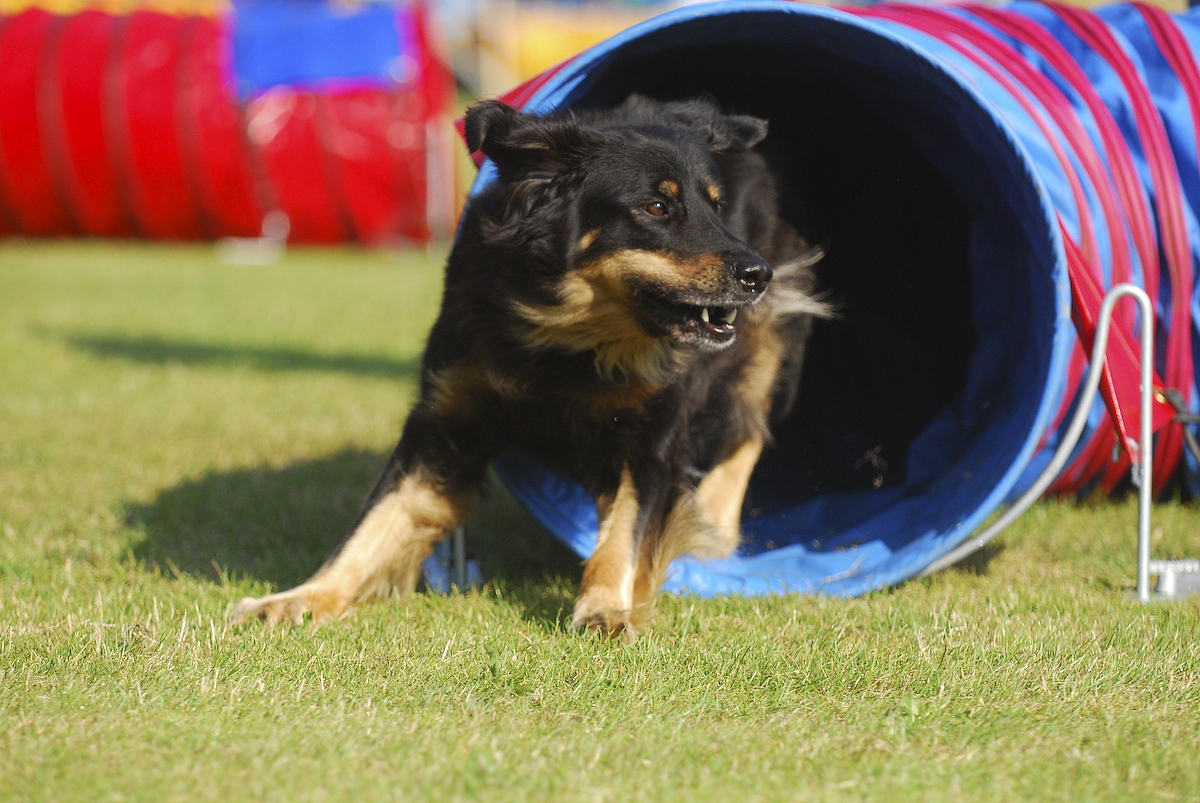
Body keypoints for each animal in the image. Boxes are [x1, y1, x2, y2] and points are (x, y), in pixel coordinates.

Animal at [231, 95, 827, 638]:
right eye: (656, 208)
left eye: (717, 207)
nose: (758, 274)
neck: (569, 334)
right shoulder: (446, 419)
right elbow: (377, 516)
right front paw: (304, 596)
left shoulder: (652, 435)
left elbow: (625, 531)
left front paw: (606, 607)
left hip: (767, 343)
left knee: (749, 428)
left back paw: (717, 523)